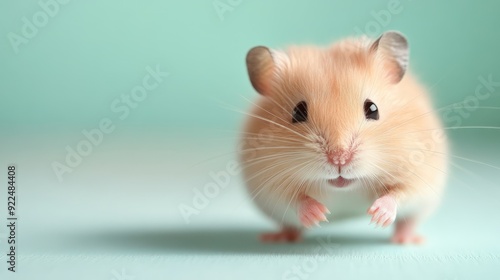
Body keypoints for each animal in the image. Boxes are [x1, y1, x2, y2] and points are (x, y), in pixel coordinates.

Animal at [239, 30, 450, 244]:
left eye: (373, 109)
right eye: (298, 112)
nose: (339, 159)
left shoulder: (419, 172)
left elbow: (399, 193)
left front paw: (377, 215)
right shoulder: (269, 185)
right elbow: (293, 199)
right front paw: (319, 215)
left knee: (408, 221)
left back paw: (407, 240)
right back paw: (279, 237)